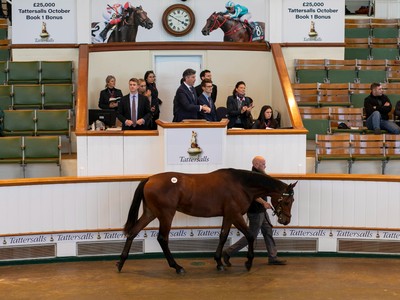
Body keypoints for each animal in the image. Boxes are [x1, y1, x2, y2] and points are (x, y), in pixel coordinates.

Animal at [116, 169, 296, 274]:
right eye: (287, 201)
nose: (286, 220)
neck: (241, 185)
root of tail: (149, 179)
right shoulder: (235, 214)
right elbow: (250, 235)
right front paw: (248, 262)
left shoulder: (228, 216)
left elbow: (223, 236)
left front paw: (219, 262)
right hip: (166, 215)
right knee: (162, 239)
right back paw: (177, 267)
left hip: (150, 213)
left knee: (133, 232)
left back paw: (121, 262)